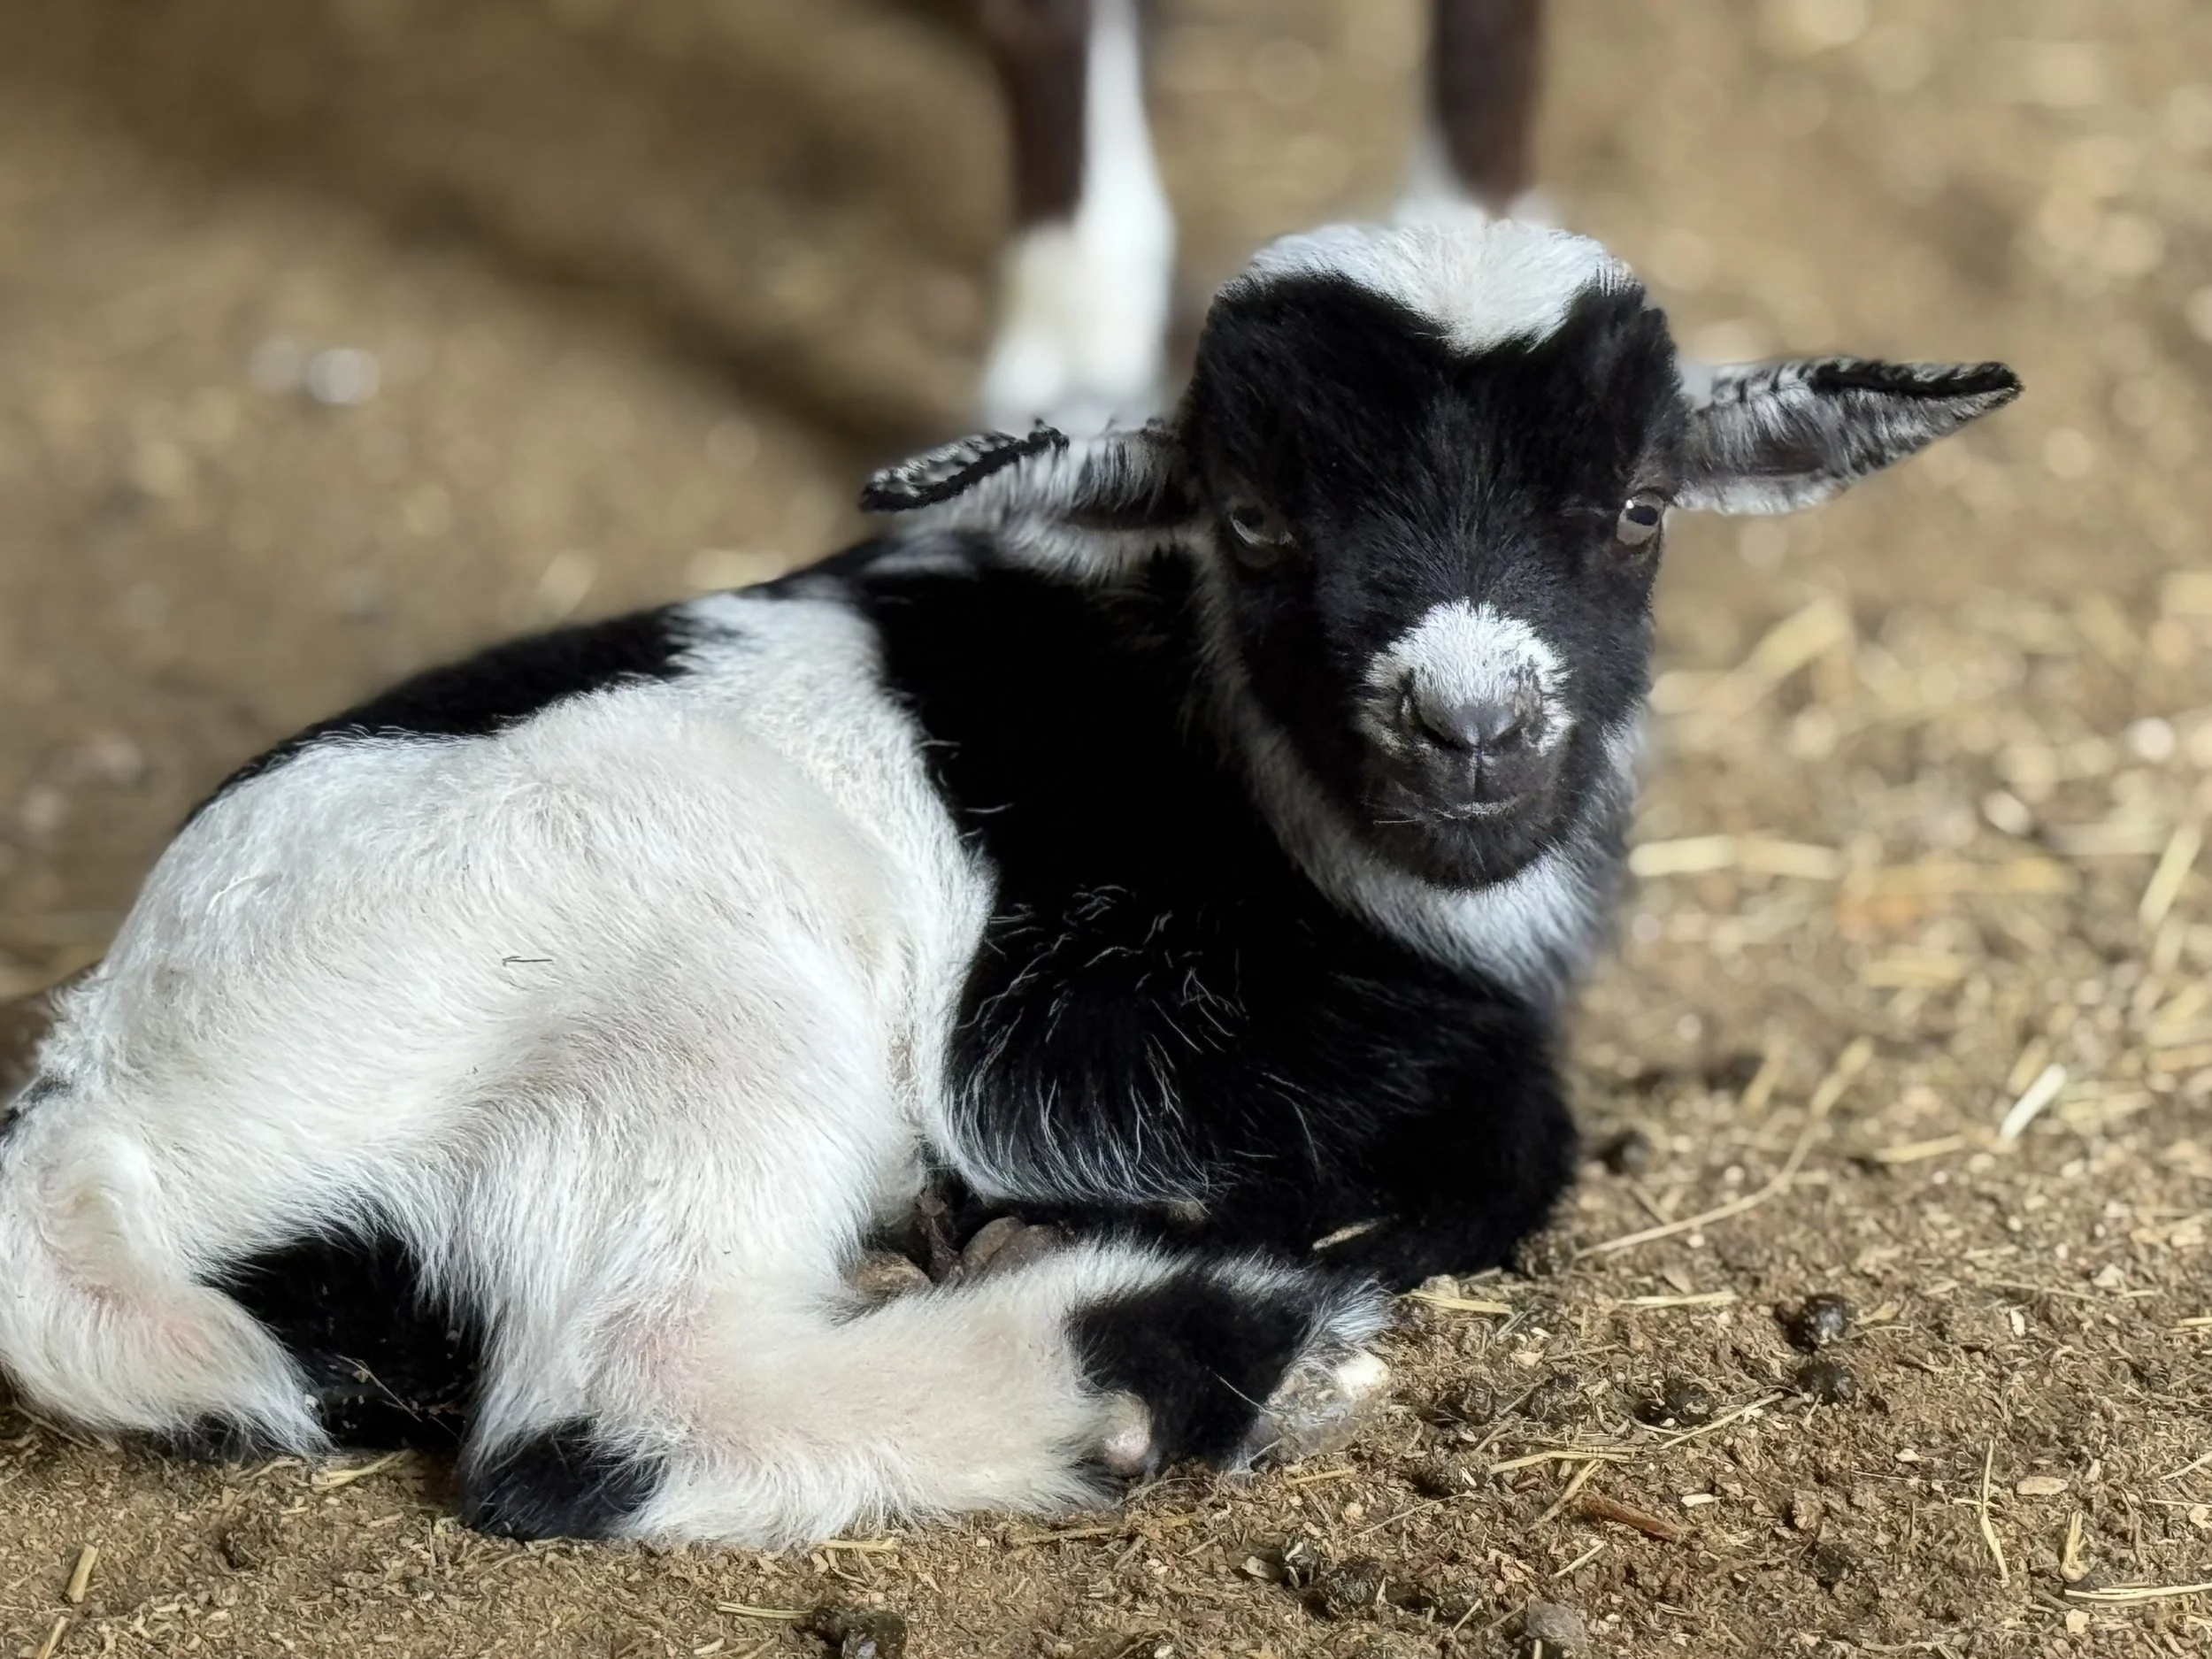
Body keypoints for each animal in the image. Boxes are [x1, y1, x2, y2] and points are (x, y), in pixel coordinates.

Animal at [0, 215, 2018, 1547]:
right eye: (1255, 520)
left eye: (1637, 511)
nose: (1470, 732)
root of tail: (99, 1114)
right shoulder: (1056, 1032)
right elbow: (1504, 1127)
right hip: (697, 1006)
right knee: (604, 1408)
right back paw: (1173, 1355)